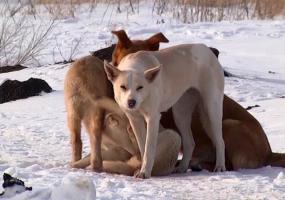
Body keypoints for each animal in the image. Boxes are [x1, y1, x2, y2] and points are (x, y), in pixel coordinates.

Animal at [103, 43, 225, 178]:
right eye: (123, 87)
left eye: (140, 87)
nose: (131, 102)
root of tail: (207, 50)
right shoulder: (135, 120)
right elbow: (143, 147)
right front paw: (142, 169)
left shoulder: (153, 118)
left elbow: (149, 149)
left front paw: (145, 172)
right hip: (180, 114)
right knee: (190, 143)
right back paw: (182, 168)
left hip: (212, 109)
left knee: (220, 142)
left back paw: (220, 166)